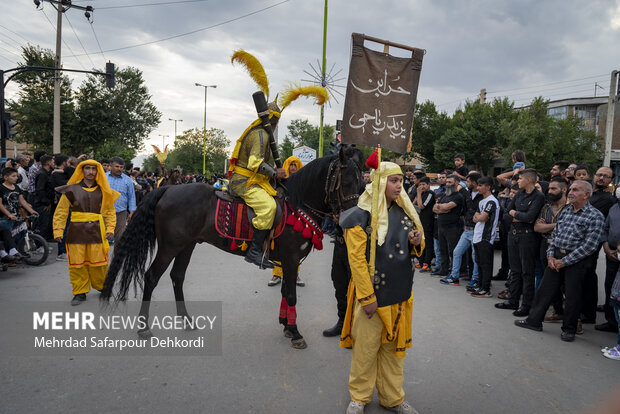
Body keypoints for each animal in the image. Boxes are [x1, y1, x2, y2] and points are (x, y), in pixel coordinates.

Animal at [101, 147, 364, 348]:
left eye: (362, 183)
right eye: (347, 181)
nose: (354, 216)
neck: (297, 204)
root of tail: (168, 189)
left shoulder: (289, 262)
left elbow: (284, 292)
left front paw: (286, 326)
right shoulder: (290, 259)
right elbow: (290, 294)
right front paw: (295, 332)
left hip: (187, 245)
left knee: (177, 276)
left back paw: (186, 320)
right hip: (170, 246)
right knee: (152, 276)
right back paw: (144, 327)